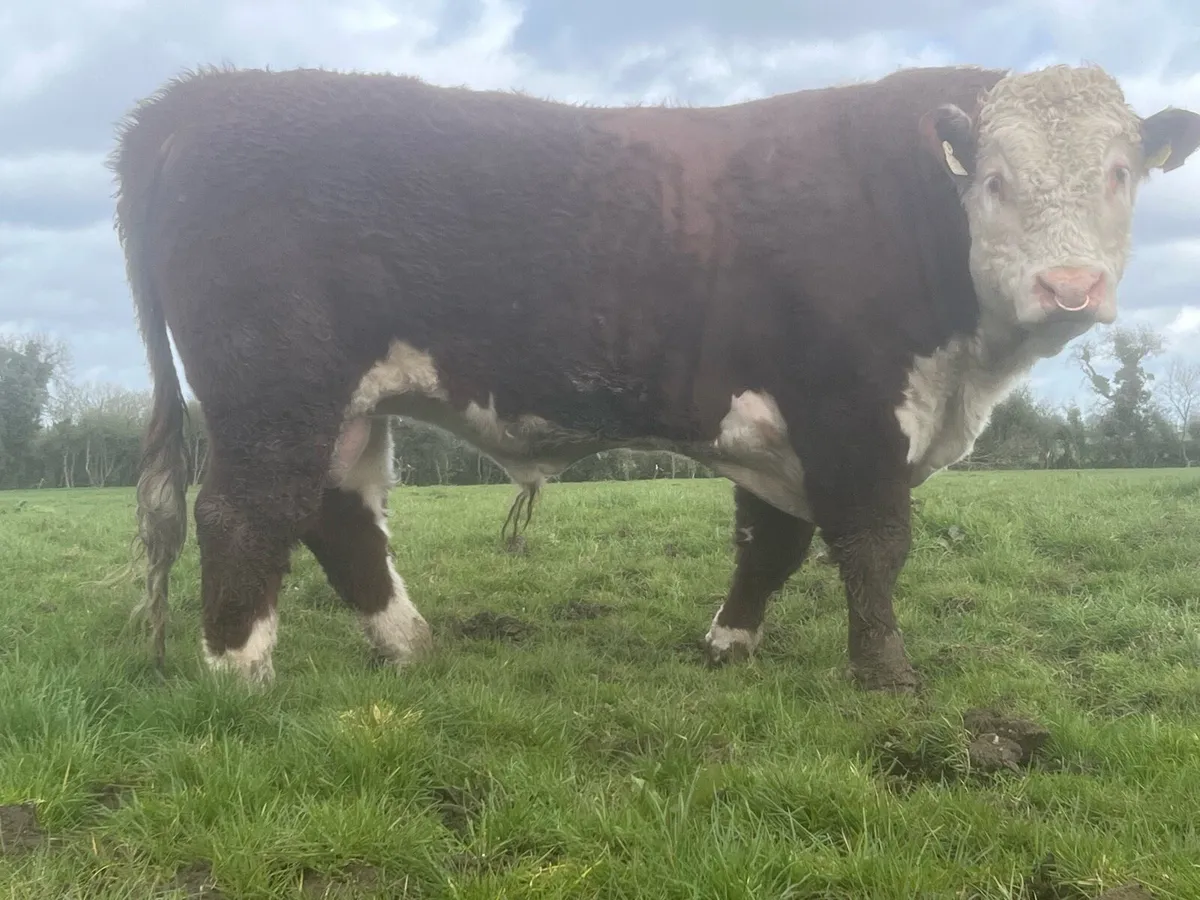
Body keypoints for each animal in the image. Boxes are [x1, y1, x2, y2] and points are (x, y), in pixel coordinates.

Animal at [108, 61, 1200, 692]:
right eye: (996, 179)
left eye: (1117, 173)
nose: (1070, 286)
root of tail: (191, 101)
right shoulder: (851, 408)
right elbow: (874, 544)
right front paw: (887, 676)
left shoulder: (784, 429)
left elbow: (772, 543)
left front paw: (728, 646)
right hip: (271, 381)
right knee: (246, 512)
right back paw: (240, 674)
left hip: (340, 399)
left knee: (335, 516)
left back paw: (413, 647)